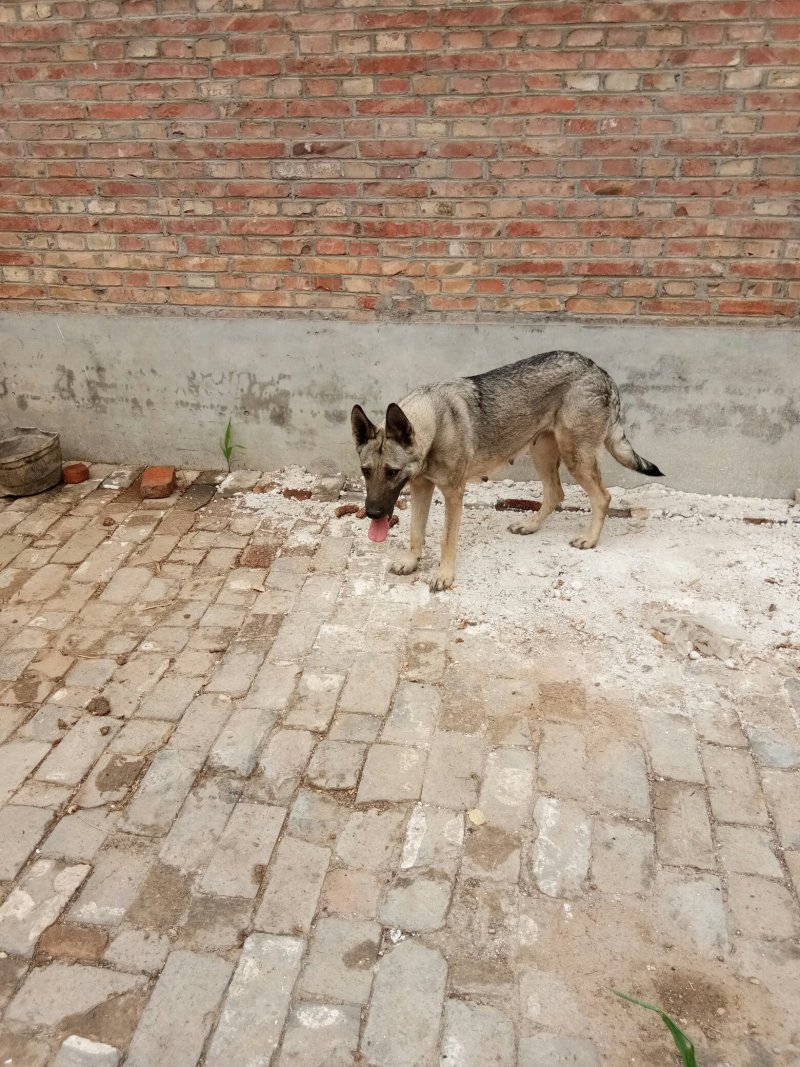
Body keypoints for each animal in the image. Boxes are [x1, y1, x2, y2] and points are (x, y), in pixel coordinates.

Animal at [349, 354, 665, 597]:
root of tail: (598, 370)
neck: (434, 423)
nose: (372, 513)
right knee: (556, 493)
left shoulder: (452, 493)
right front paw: (411, 561)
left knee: (602, 496)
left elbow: (446, 539)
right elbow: (416, 531)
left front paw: (444, 574)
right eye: (365, 471)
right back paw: (530, 525)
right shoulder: (420, 487)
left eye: (392, 472)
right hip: (543, 452)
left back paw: (589, 539)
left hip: (575, 456)